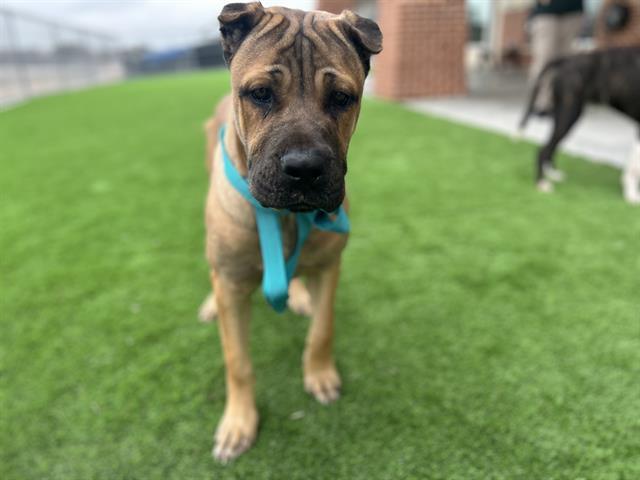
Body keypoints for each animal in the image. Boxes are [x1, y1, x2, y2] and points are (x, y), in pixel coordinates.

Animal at [199, 2, 380, 462]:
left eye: (342, 98)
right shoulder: (232, 282)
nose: (304, 169)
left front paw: (319, 375)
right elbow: (238, 362)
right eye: (260, 93)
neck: (282, 217)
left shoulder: (331, 267)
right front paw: (239, 423)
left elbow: (322, 330)